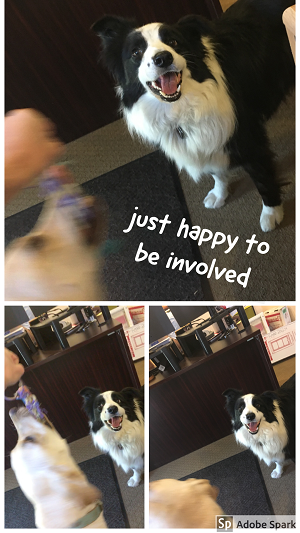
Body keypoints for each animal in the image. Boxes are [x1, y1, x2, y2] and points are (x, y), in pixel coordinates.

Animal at [91, 0, 292, 233]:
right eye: (136, 52)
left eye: (173, 41)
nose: (163, 58)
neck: (180, 107)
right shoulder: (206, 135)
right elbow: (214, 169)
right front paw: (219, 194)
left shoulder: (246, 134)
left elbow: (261, 175)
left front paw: (271, 213)